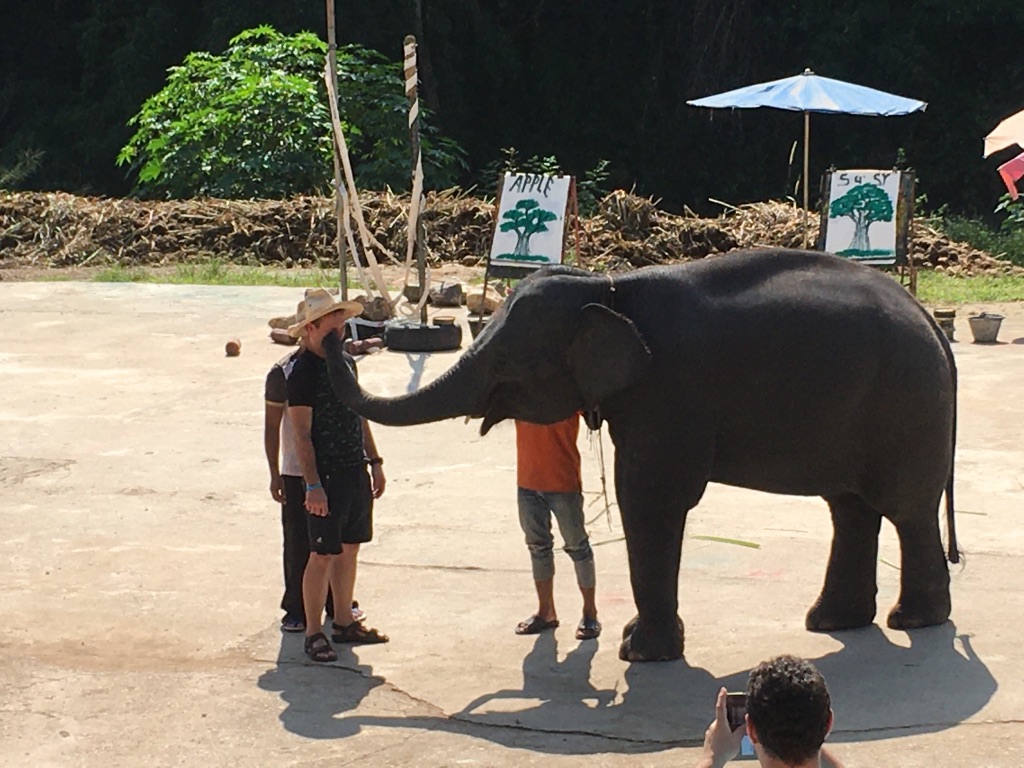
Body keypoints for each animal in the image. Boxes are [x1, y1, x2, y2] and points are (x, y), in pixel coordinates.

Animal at [321, 250, 958, 663]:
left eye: (504, 363)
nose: (337, 334)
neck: (607, 286)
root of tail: (931, 320)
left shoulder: (667, 390)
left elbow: (649, 498)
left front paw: (638, 653)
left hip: (908, 406)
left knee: (904, 510)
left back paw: (912, 621)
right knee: (850, 507)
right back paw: (831, 622)